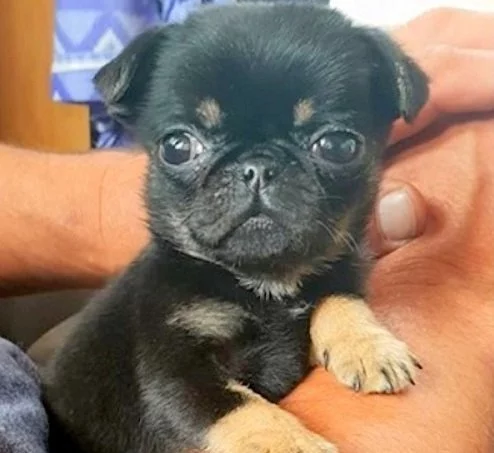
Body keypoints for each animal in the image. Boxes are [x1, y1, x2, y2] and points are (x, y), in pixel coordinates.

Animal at [42, 2, 429, 453]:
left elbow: (339, 298)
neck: (266, 284)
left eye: (338, 146)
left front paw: (369, 344)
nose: (257, 166)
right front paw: (288, 444)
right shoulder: (178, 371)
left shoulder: (327, 283)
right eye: (177, 147)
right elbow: (239, 407)